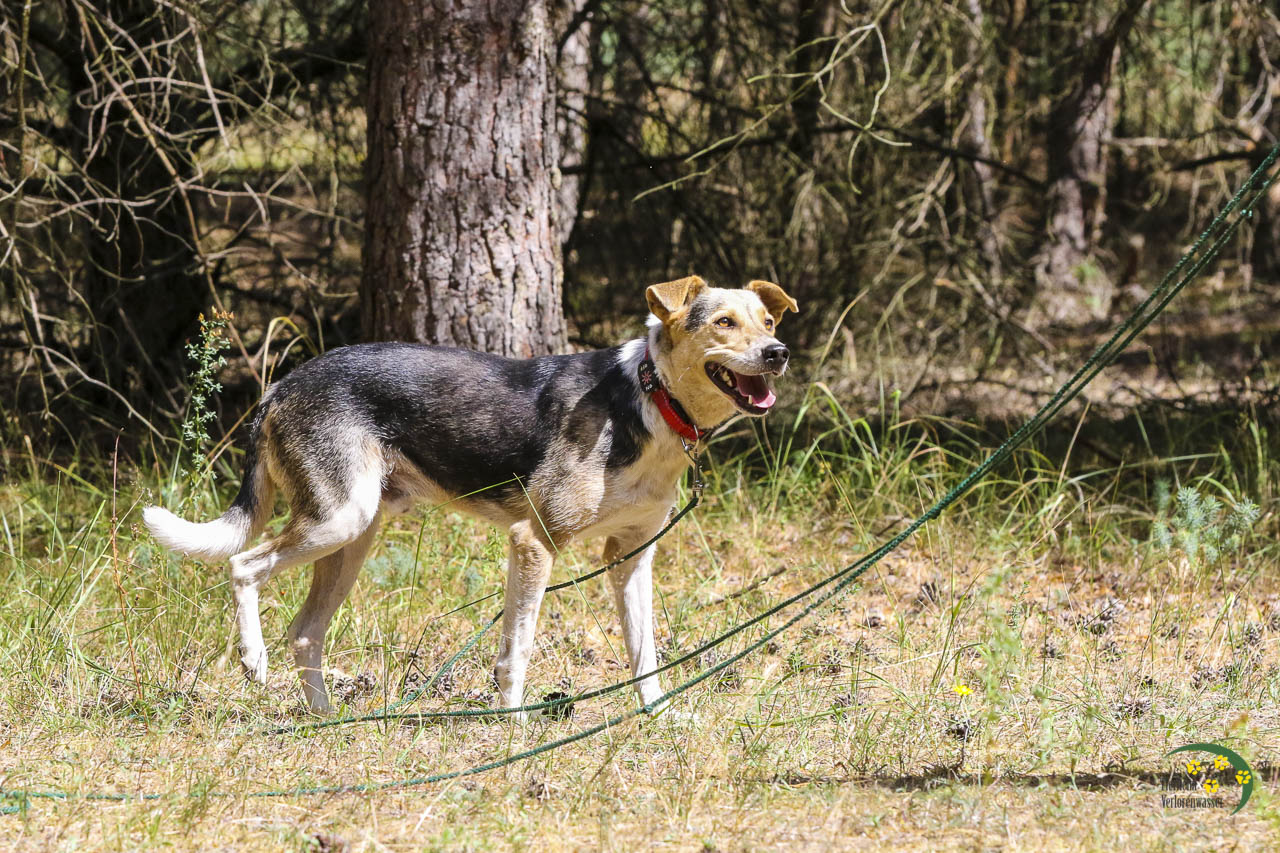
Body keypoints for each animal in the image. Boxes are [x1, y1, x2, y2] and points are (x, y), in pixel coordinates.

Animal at [143, 275, 798, 715]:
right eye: (723, 323)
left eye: (768, 323)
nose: (779, 354)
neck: (647, 397)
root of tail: (281, 384)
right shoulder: (534, 542)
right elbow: (518, 650)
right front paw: (513, 726)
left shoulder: (630, 558)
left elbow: (645, 654)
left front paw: (657, 719)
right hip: (337, 521)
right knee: (243, 565)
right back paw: (254, 661)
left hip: (354, 536)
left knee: (305, 631)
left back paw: (325, 719)